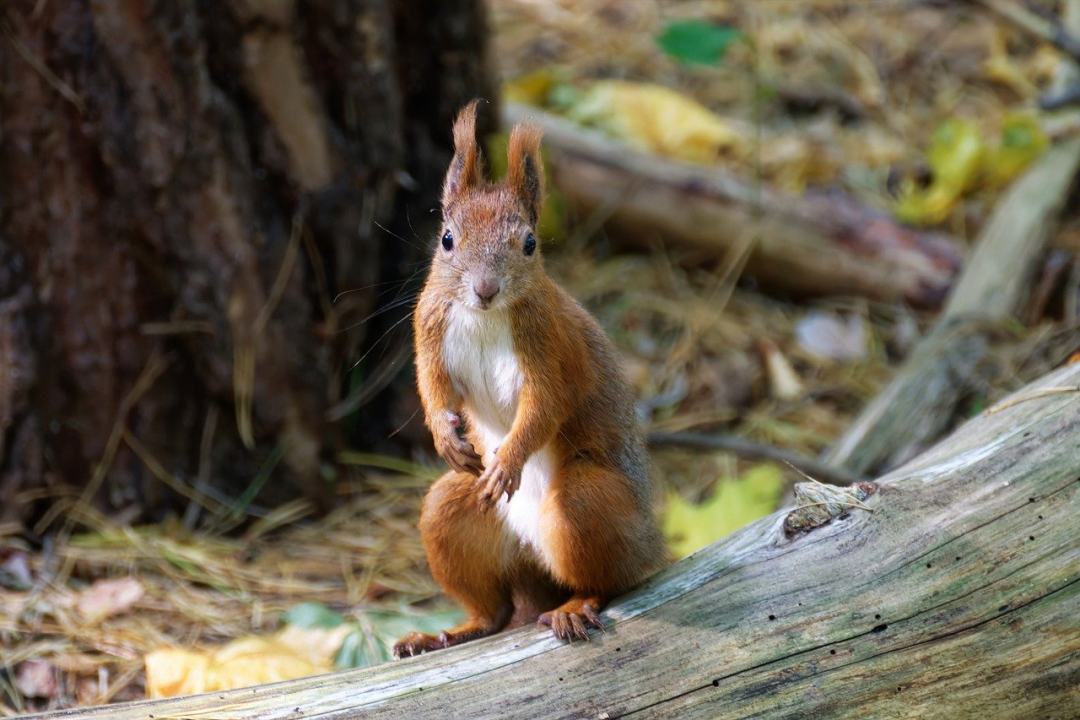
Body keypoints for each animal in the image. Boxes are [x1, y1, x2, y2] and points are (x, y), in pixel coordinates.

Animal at [397, 101, 665, 660]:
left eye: (529, 243)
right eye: (447, 239)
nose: (484, 289)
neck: (484, 318)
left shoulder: (554, 348)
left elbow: (545, 405)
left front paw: (510, 459)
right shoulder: (429, 328)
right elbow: (432, 386)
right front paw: (444, 435)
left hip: (590, 507)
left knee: (609, 580)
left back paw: (576, 605)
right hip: (452, 515)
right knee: (491, 610)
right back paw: (444, 634)